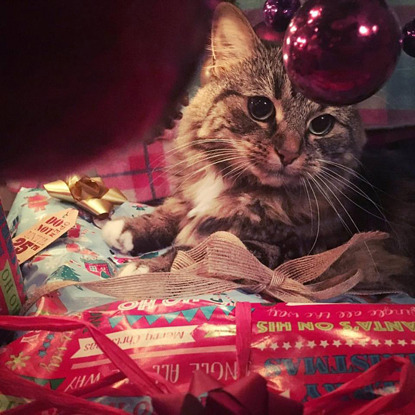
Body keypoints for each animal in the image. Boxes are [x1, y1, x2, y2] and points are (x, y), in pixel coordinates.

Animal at [102, 3, 415, 296]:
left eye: (321, 124)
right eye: (260, 108)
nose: (289, 153)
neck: (232, 182)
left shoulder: (285, 249)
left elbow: (199, 252)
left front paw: (146, 269)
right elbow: (174, 211)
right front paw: (129, 227)